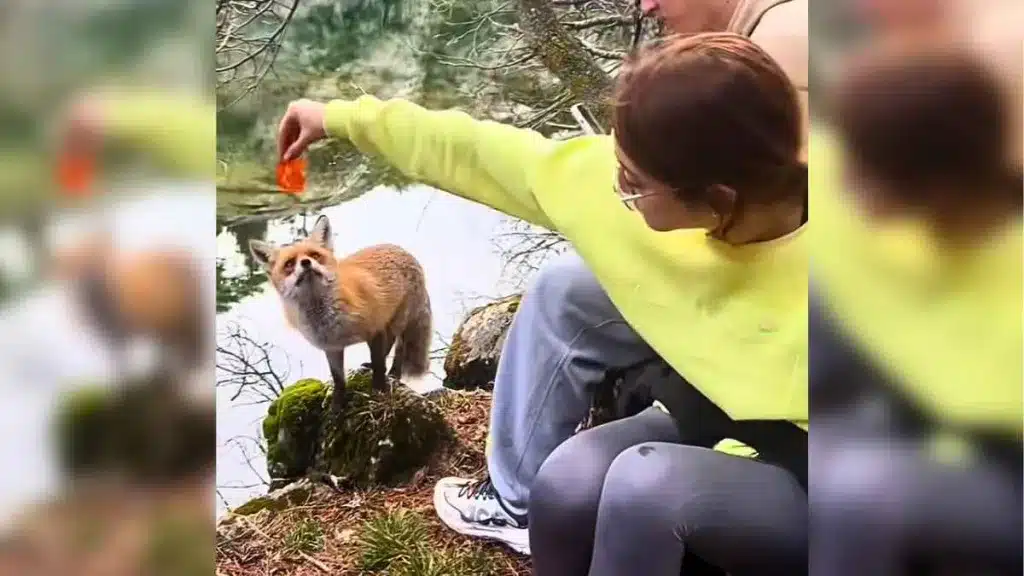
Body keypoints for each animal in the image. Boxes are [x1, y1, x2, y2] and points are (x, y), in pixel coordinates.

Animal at [251, 213, 436, 405]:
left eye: (315, 255)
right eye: (289, 264)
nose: (306, 262)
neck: (330, 322)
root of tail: (403, 251)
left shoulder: (375, 329)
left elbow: (379, 365)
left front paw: (379, 390)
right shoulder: (332, 348)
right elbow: (338, 379)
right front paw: (337, 406)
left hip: (398, 321)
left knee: (398, 348)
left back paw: (393, 374)